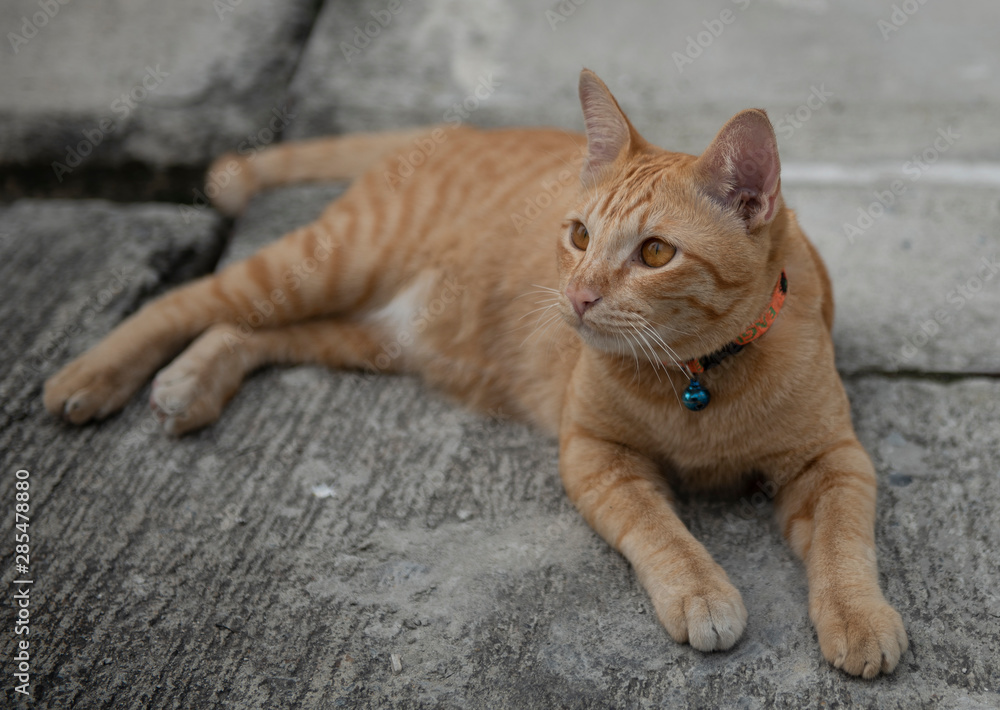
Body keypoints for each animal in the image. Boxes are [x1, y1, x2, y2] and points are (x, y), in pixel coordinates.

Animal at [45, 71, 908, 680]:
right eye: (578, 234)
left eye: (656, 252)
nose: (578, 295)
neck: (697, 380)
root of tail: (454, 128)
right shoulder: (594, 455)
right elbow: (661, 531)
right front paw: (701, 591)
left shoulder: (834, 462)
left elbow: (843, 543)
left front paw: (859, 615)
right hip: (326, 266)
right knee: (189, 299)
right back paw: (90, 376)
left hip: (372, 331)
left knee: (246, 330)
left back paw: (190, 384)